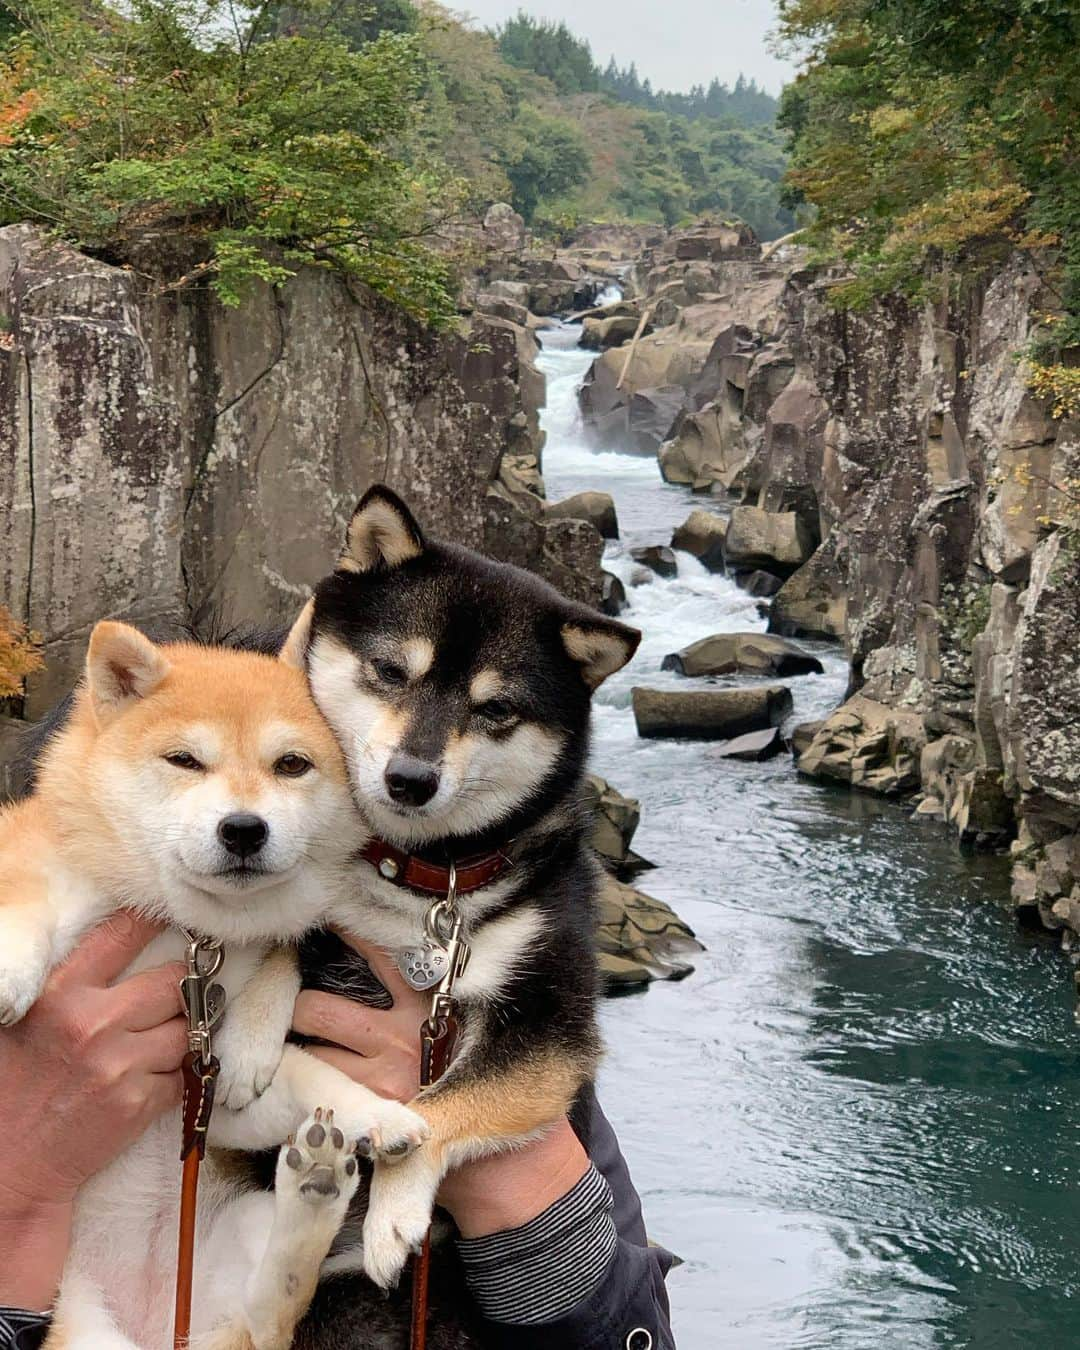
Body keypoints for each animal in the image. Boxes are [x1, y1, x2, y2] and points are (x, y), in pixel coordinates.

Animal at [286, 488, 642, 1296]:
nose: (410, 779)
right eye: (390, 671)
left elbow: (439, 1108)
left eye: (496, 710)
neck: (427, 878)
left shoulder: (551, 1026)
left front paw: (391, 1213)